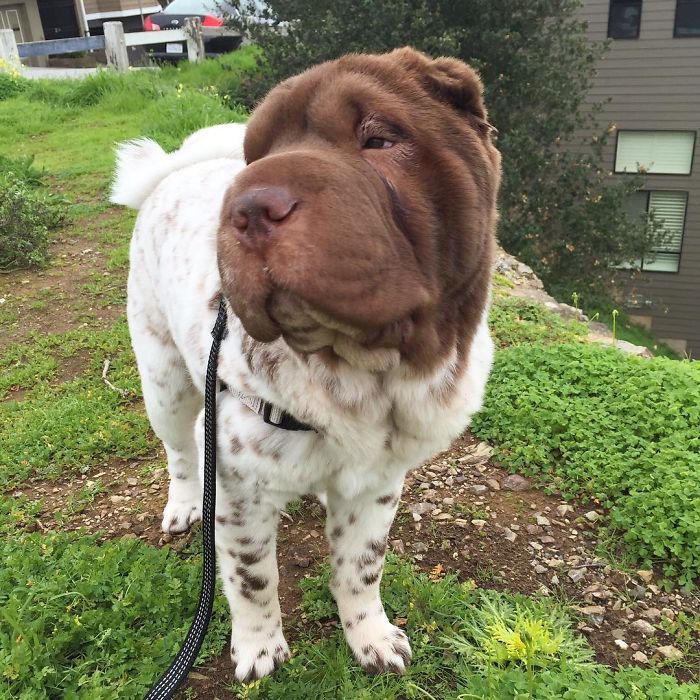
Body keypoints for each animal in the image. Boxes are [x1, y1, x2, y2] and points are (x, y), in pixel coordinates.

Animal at [112, 46, 500, 680]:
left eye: (379, 138)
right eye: (256, 155)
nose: (247, 207)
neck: (368, 378)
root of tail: (171, 174)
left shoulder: (379, 487)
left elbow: (361, 568)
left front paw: (372, 638)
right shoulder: (236, 490)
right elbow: (251, 579)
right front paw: (258, 650)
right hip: (164, 382)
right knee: (179, 453)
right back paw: (183, 505)